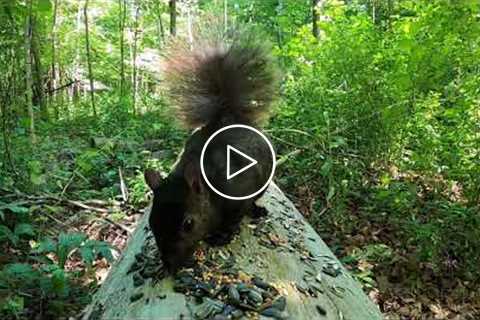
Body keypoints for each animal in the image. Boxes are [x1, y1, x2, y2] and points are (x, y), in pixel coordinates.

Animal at [143, 26, 278, 270]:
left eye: (188, 223)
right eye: (151, 222)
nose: (170, 266)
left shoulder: (240, 193)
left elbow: (234, 220)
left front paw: (222, 236)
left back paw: (257, 210)